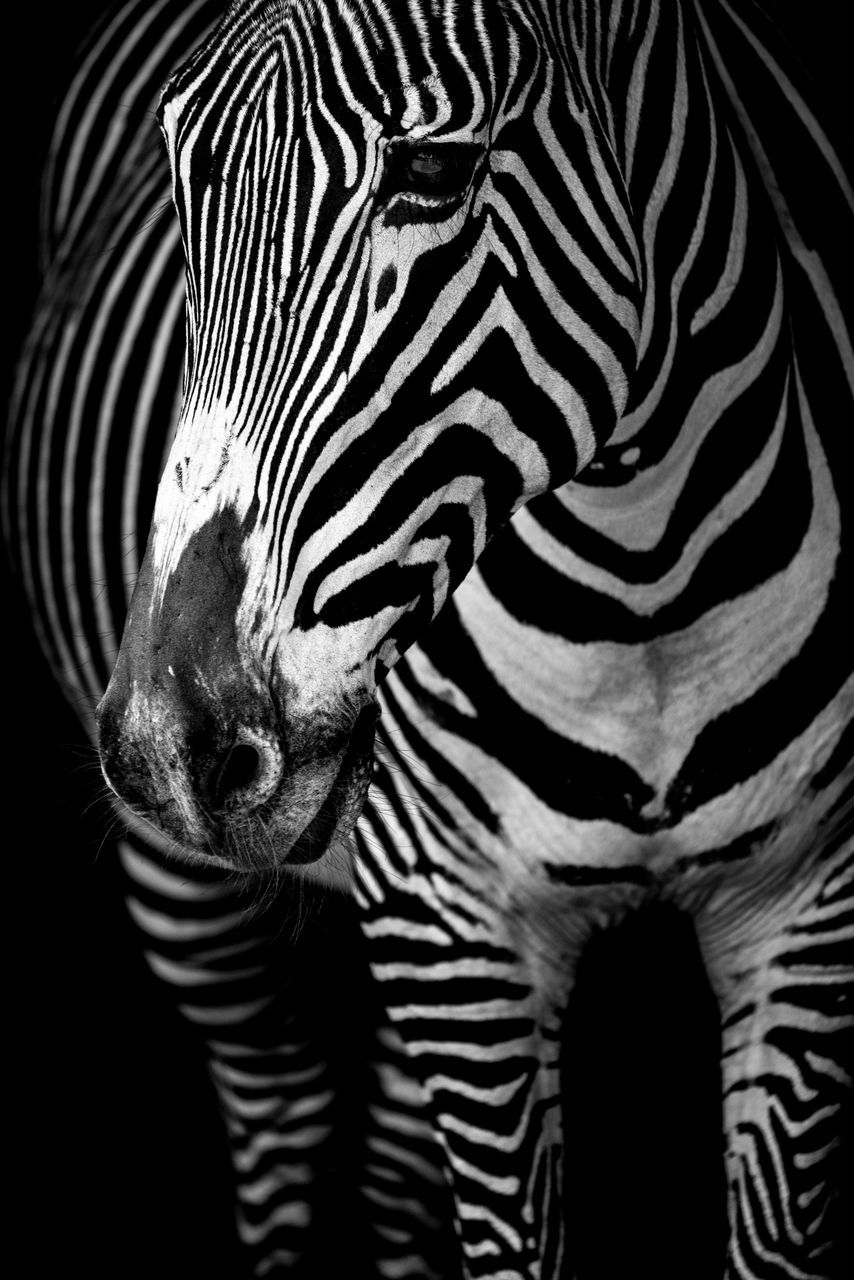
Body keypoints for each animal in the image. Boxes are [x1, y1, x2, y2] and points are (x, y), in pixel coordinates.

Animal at [6, 2, 854, 1280]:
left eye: (433, 173)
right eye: (183, 174)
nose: (166, 744)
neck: (642, 579)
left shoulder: (805, 902)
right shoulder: (442, 916)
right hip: (194, 898)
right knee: (280, 1111)